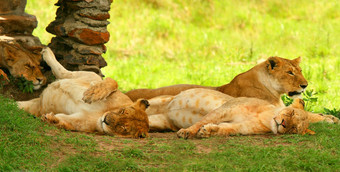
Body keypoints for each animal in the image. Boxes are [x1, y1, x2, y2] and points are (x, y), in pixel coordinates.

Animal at [17, 47, 150, 138]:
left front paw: (52, 119)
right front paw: (93, 93)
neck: (103, 111)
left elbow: (67, 123)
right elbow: (112, 82)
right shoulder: (89, 76)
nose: (106, 120)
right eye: (122, 111)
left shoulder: (81, 122)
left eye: (124, 128)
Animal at [146, 88, 338, 138]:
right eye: (290, 114)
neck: (265, 117)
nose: (283, 124)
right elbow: (201, 121)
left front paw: (208, 131)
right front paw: (187, 132)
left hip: (158, 121)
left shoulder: (241, 126)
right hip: (158, 101)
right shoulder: (225, 109)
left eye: (294, 129)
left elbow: (225, 129)